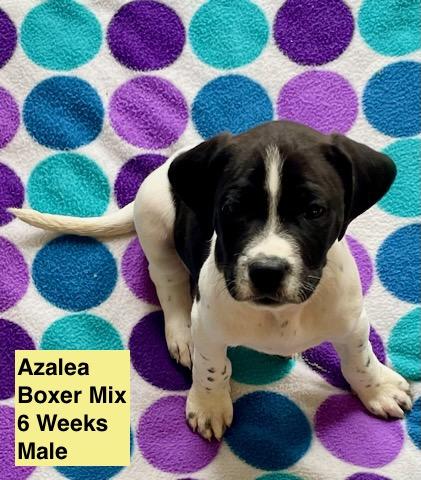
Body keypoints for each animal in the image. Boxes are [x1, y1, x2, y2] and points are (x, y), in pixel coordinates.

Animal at [11, 120, 412, 440]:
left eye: (314, 211)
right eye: (232, 208)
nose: (266, 270)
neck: (278, 315)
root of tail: (168, 165)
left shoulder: (352, 322)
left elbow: (360, 359)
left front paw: (377, 389)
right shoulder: (208, 326)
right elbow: (210, 367)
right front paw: (209, 405)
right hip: (157, 230)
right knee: (170, 288)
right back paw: (181, 336)